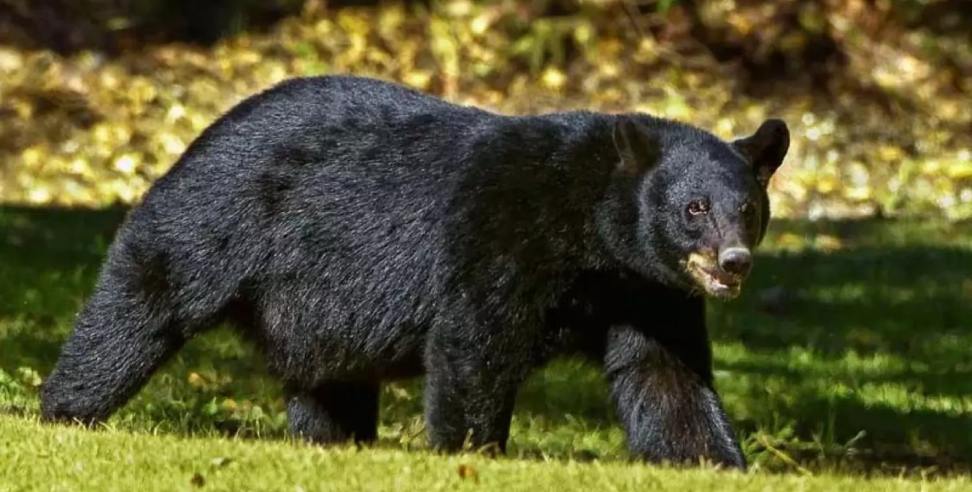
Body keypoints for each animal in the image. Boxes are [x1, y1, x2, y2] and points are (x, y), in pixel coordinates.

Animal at [40, 75, 788, 469]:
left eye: (748, 209)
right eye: (693, 208)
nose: (733, 262)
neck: (591, 234)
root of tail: (207, 129)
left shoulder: (646, 289)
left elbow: (665, 374)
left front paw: (714, 461)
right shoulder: (502, 232)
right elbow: (475, 343)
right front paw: (473, 454)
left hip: (316, 306)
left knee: (328, 380)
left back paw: (335, 443)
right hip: (217, 216)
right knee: (144, 300)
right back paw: (65, 410)